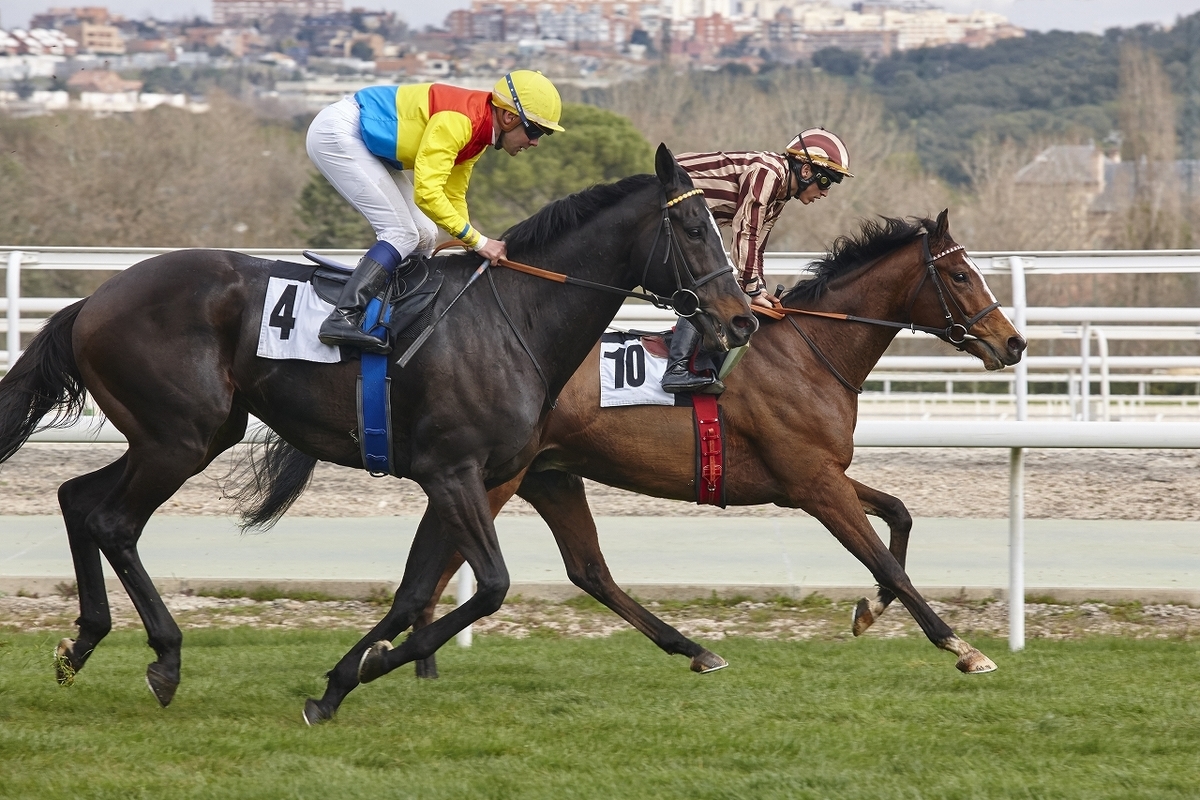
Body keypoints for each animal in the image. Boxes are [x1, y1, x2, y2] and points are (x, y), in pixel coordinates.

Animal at [0, 144, 757, 719]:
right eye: (697, 229)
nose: (742, 318)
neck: (514, 317)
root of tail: (96, 298)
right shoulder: (452, 471)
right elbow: (489, 586)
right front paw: (372, 667)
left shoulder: (472, 477)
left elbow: (417, 590)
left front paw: (342, 682)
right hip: (178, 437)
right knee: (113, 520)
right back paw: (165, 657)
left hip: (189, 434)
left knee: (77, 499)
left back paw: (81, 644)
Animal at [386, 210, 1027, 679]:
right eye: (962, 275)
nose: (1014, 343)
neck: (810, 351)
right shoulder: (813, 484)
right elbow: (887, 564)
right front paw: (962, 647)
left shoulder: (816, 475)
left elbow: (900, 514)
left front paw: (867, 612)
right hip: (498, 477)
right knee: (447, 566)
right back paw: (411, 661)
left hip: (545, 472)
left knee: (583, 570)